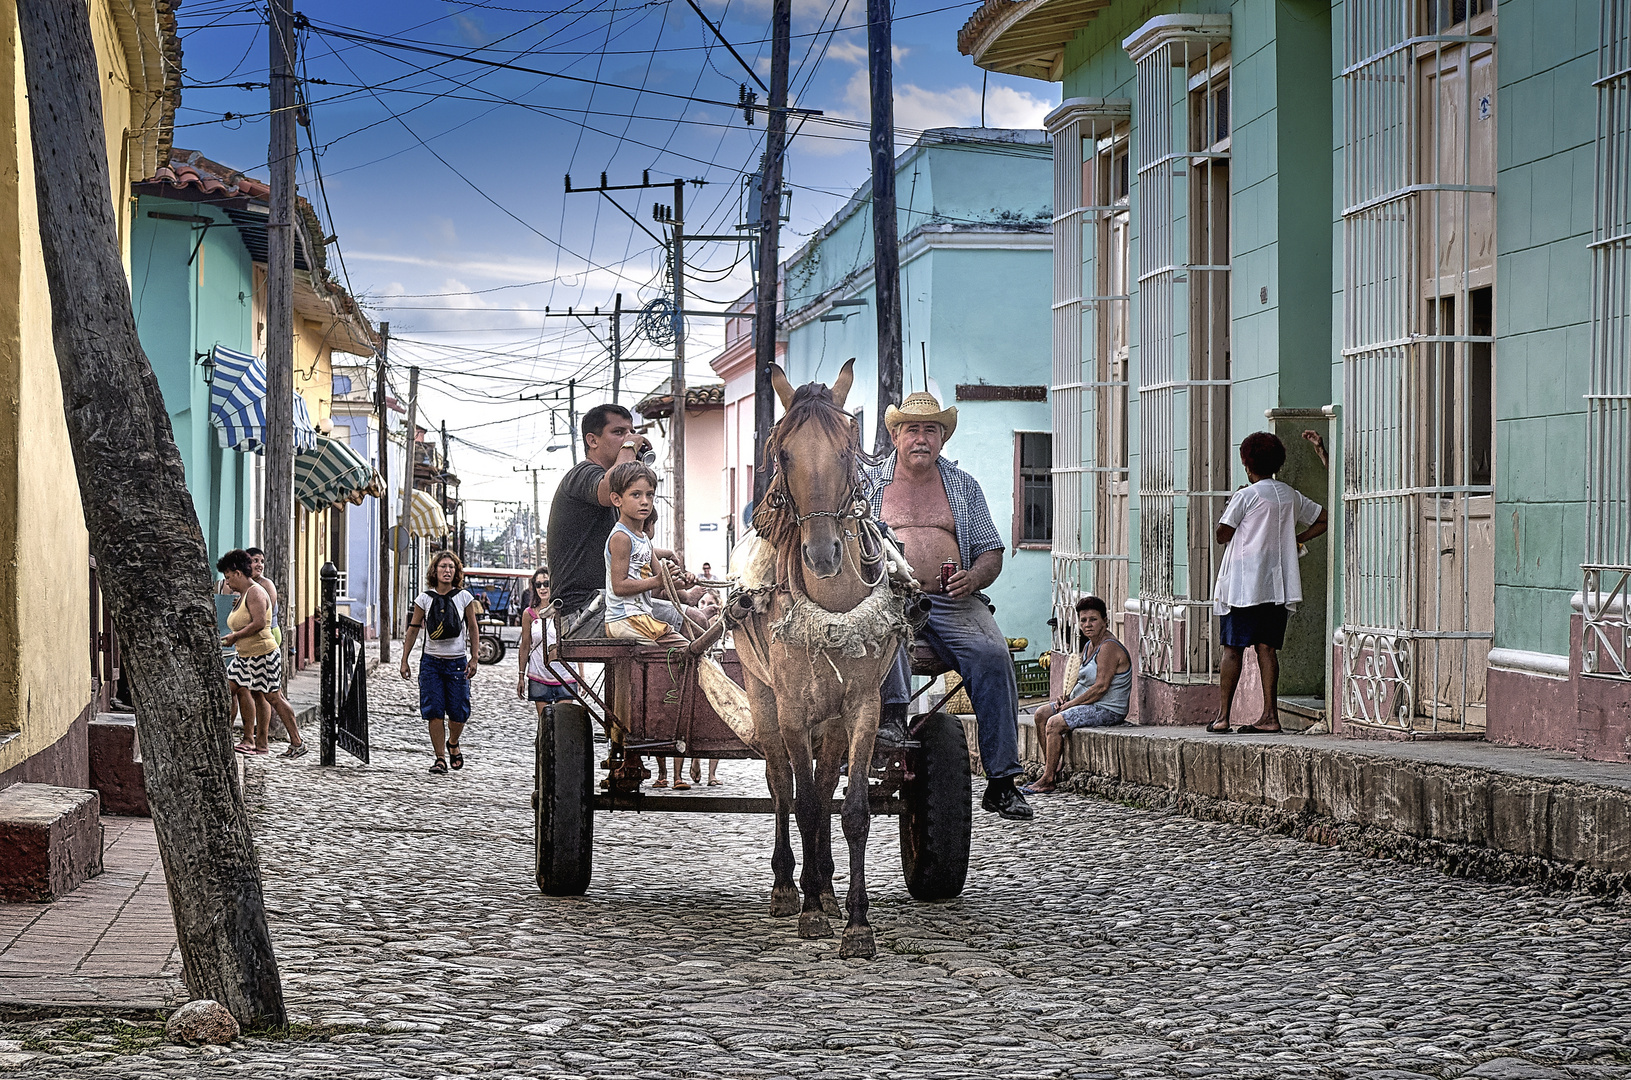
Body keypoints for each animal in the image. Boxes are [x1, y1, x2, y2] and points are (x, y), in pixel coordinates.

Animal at [733, 358, 913, 959]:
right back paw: (791, 886)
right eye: (783, 453)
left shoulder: (863, 708)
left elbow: (850, 808)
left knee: (825, 780)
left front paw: (856, 922)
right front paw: (809, 910)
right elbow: (805, 803)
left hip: (831, 718)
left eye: (846, 448)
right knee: (783, 786)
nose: (821, 553)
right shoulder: (791, 708)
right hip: (764, 699)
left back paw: (827, 886)